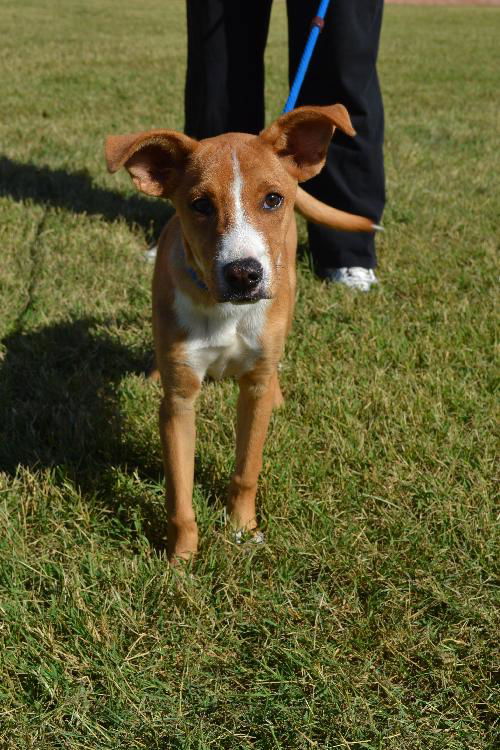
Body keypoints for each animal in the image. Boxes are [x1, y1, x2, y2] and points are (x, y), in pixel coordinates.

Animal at [106, 106, 378, 564]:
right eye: (200, 205)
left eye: (273, 199)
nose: (244, 274)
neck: (225, 311)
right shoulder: (179, 404)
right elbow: (179, 493)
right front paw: (181, 558)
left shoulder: (252, 389)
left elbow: (247, 468)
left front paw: (243, 529)